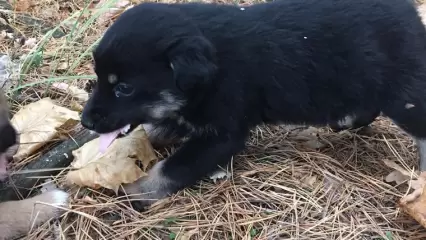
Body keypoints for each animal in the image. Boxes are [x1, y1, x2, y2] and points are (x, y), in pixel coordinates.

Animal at [81, 0, 426, 209]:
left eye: (124, 88)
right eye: (98, 78)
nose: (85, 122)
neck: (214, 66)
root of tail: (410, 12)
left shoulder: (222, 135)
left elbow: (171, 168)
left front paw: (137, 191)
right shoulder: (189, 115)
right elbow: (156, 130)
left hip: (401, 93)